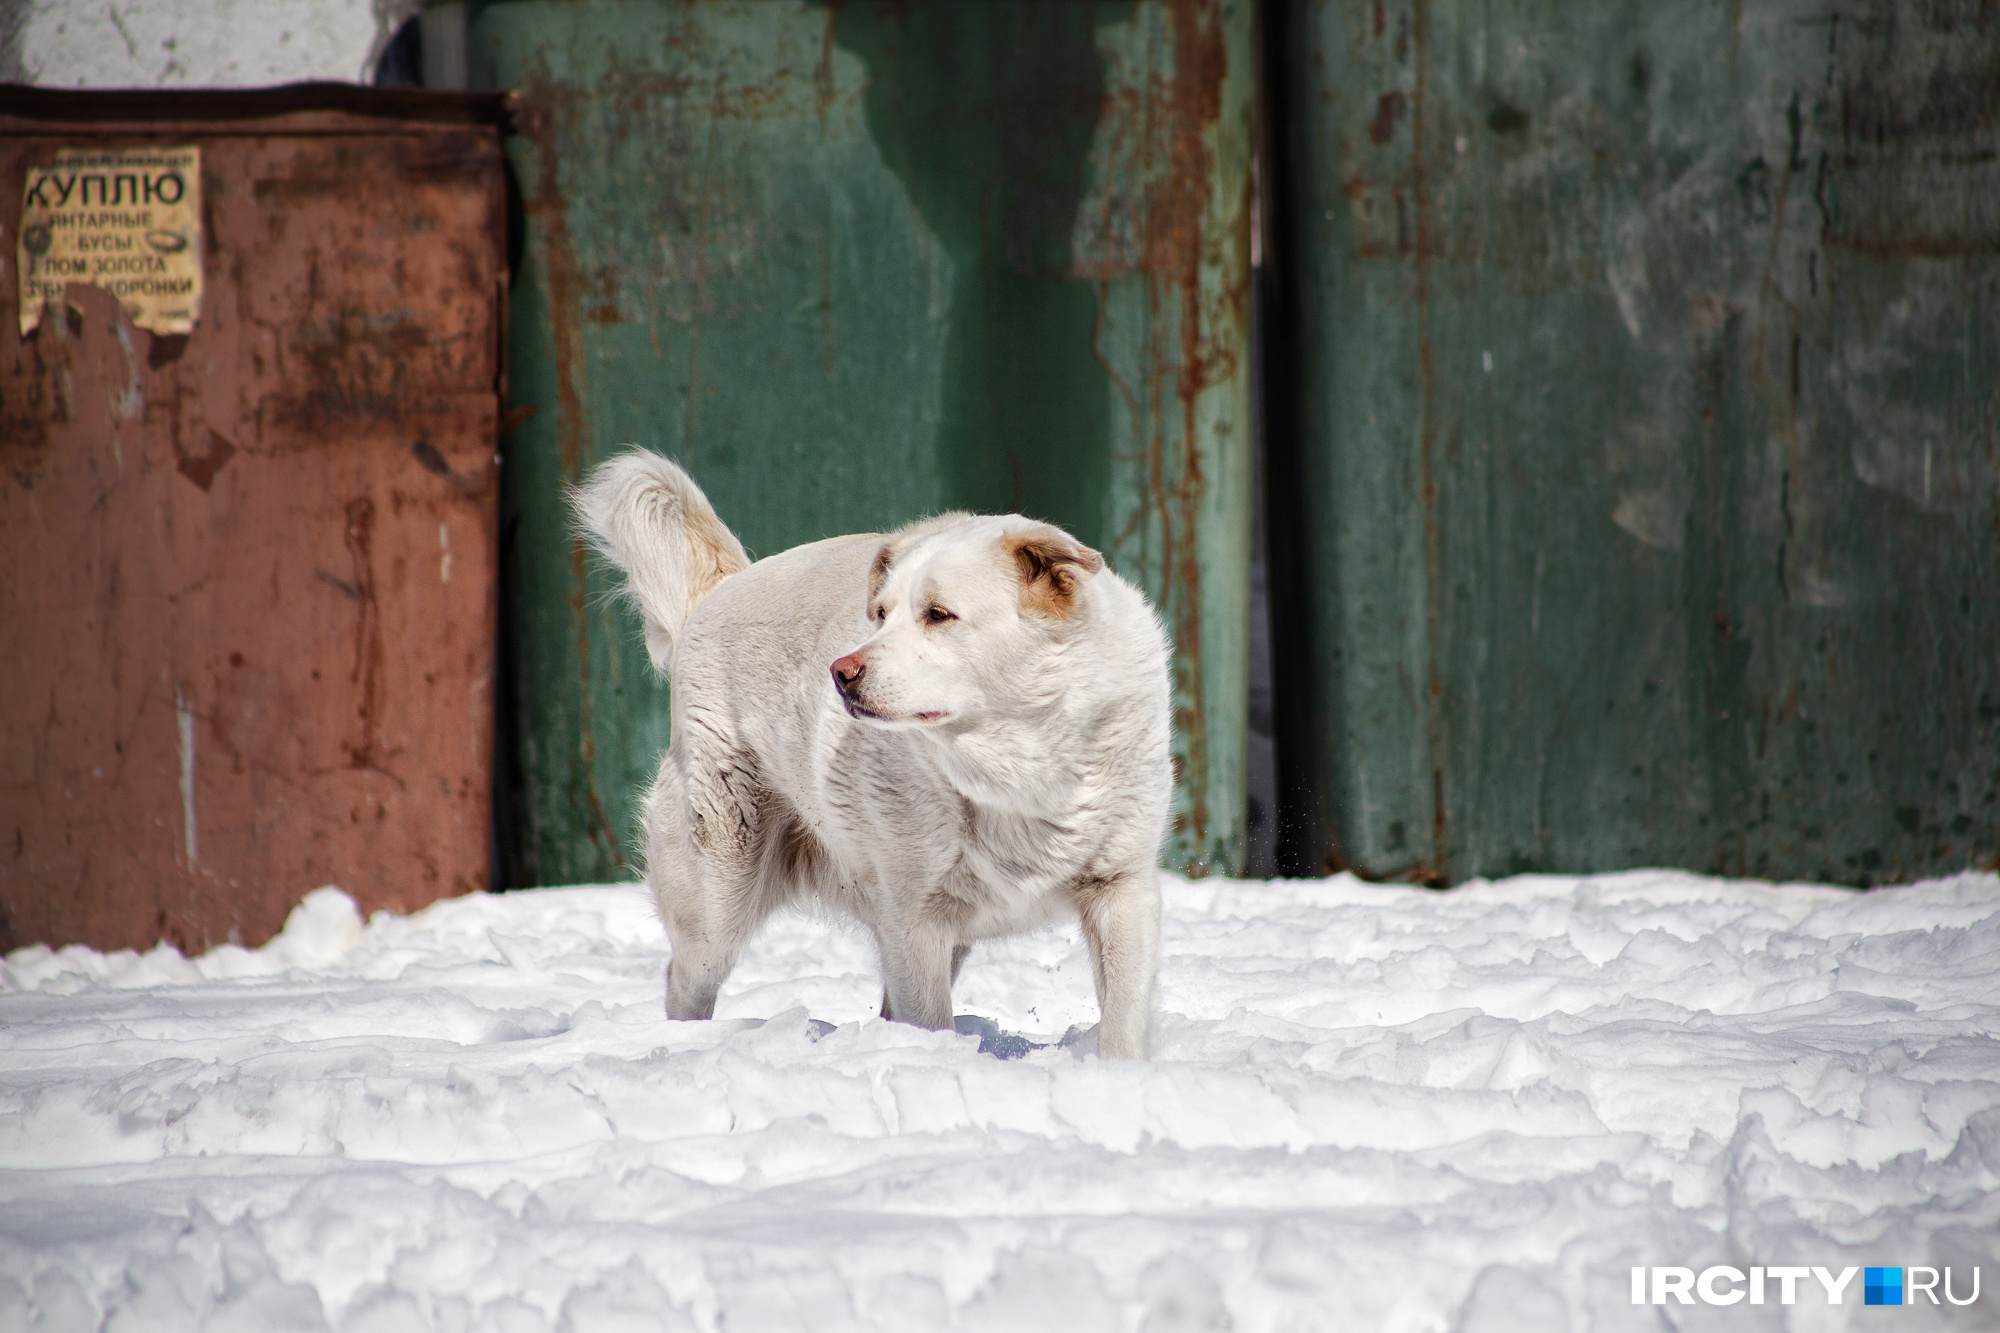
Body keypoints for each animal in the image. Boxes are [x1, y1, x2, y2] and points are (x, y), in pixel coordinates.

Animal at [572, 452, 1168, 1056]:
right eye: (880, 615)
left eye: (938, 614)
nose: (841, 672)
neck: (1017, 767)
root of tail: (724, 588)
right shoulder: (914, 920)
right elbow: (929, 1023)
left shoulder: (1121, 891)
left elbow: (1123, 1020)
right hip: (717, 894)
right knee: (684, 979)